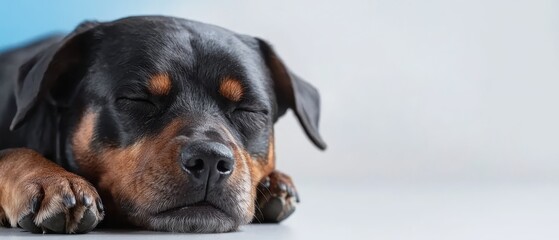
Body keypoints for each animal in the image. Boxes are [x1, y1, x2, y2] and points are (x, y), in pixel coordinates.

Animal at [0, 15, 324, 232]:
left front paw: (275, 183)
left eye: (249, 109)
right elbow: (11, 152)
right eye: (138, 99)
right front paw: (50, 178)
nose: (210, 159)